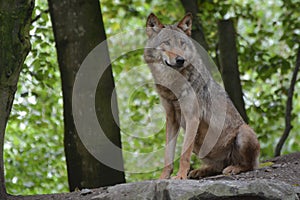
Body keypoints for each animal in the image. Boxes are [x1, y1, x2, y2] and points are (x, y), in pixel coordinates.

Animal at [144, 12, 260, 180]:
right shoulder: (171, 119)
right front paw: (163, 178)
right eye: (167, 42)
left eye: (182, 44)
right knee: (217, 167)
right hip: (201, 147)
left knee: (249, 165)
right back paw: (200, 171)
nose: (180, 60)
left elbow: (184, 154)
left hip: (244, 131)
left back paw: (233, 168)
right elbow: (168, 155)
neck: (172, 85)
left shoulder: (192, 117)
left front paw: (180, 176)